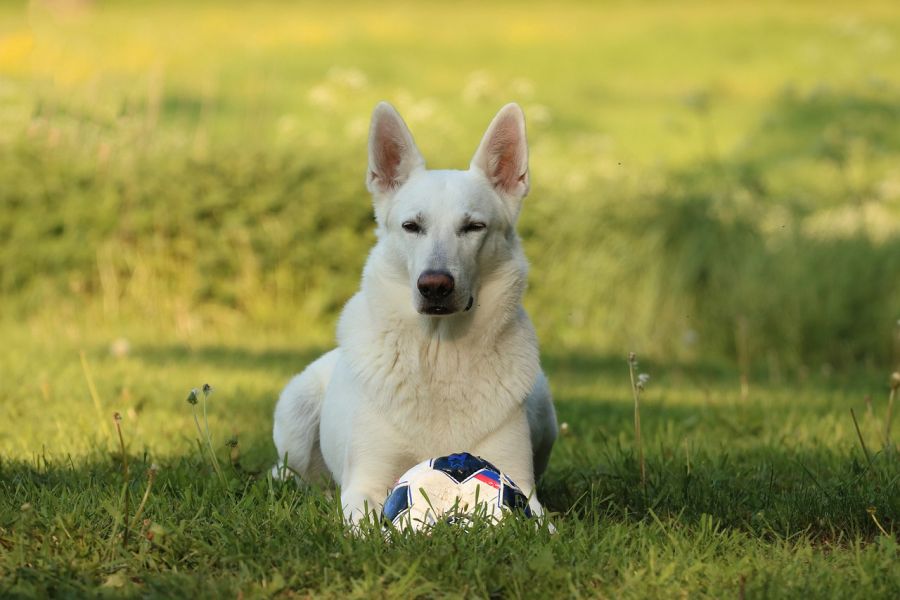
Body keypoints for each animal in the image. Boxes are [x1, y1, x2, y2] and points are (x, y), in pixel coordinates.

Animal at [272, 101, 556, 524]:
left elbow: (537, 522)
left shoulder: (521, 487)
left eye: (474, 227)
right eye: (411, 226)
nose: (434, 285)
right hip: (297, 412)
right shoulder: (366, 484)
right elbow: (370, 523)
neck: (440, 353)